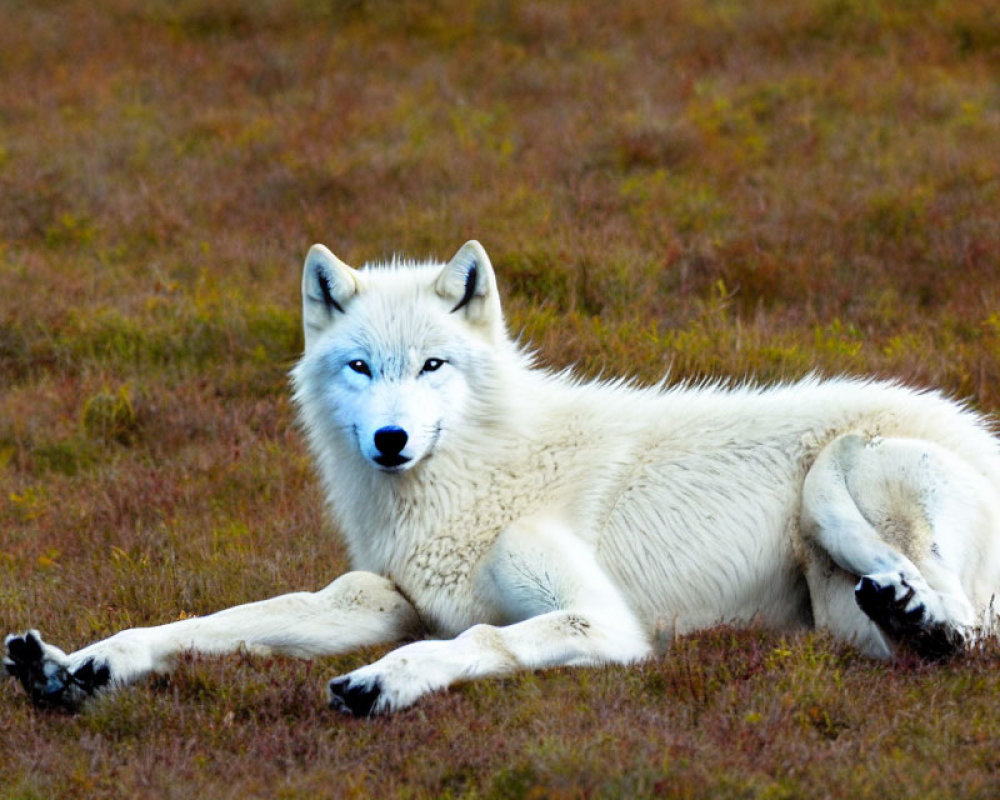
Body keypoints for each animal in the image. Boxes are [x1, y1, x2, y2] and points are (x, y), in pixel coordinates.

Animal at [5, 241, 1000, 716]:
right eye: (361, 367)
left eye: (433, 364)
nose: (392, 439)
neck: (474, 478)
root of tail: (977, 430)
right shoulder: (373, 598)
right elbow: (222, 623)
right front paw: (80, 664)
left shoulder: (603, 623)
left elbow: (477, 641)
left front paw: (384, 684)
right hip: (839, 612)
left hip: (852, 486)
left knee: (966, 628)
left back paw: (923, 617)